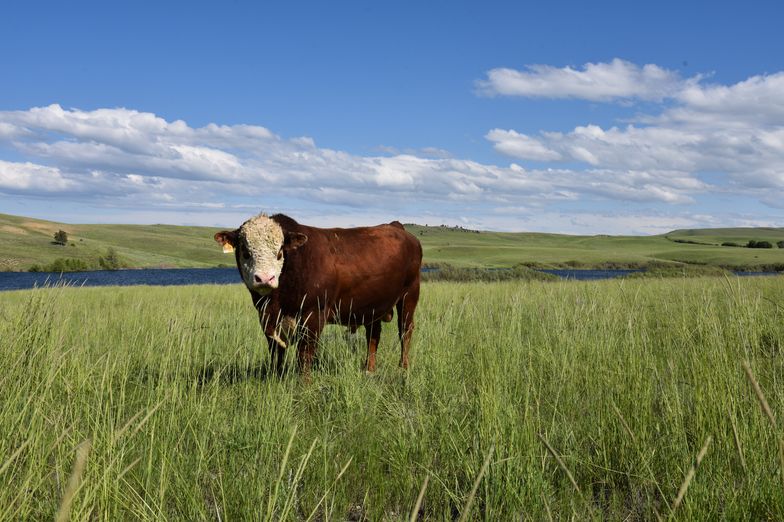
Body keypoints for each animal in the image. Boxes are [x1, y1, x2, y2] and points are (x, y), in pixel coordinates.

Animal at [214, 213, 422, 375]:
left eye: (280, 250)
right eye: (245, 250)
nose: (265, 278)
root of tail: (397, 226)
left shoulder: (313, 314)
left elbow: (304, 354)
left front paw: (303, 387)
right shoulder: (267, 318)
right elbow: (276, 353)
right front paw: (276, 378)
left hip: (409, 295)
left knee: (405, 330)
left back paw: (403, 368)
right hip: (373, 305)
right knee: (373, 335)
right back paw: (369, 369)